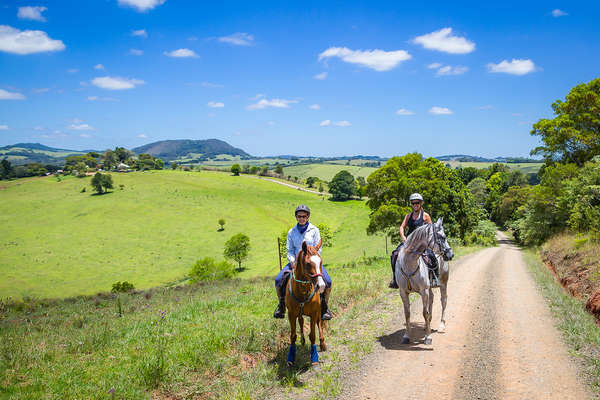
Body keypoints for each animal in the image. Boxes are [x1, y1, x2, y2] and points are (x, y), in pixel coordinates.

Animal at [394, 217, 454, 346]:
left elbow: (424, 312)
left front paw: (428, 337)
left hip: (443, 284)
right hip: (430, 288)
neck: (409, 263)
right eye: (442, 237)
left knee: (443, 301)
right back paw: (428, 324)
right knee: (431, 299)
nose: (451, 254)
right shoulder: (403, 292)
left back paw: (441, 326)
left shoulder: (424, 290)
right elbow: (407, 314)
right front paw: (406, 336)